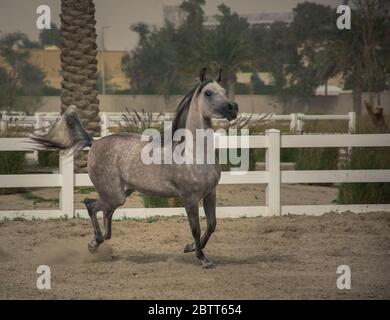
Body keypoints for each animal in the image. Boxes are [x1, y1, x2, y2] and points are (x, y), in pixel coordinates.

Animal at [30, 69, 238, 268]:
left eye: (224, 91)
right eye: (208, 93)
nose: (233, 108)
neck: (193, 153)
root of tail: (94, 143)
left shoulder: (210, 194)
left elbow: (211, 225)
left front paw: (191, 247)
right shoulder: (190, 198)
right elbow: (196, 228)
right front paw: (202, 259)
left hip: (120, 194)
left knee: (104, 214)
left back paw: (99, 241)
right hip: (114, 195)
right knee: (90, 205)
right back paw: (93, 244)